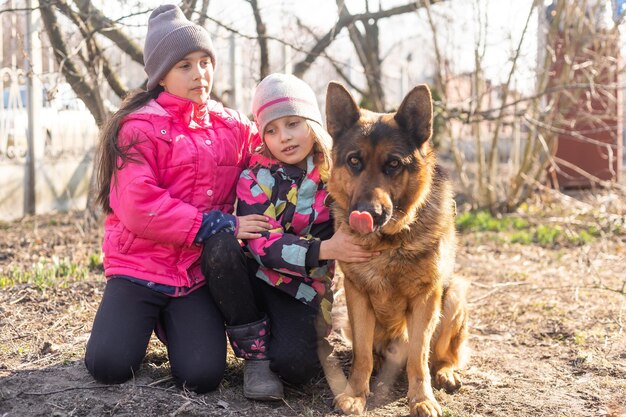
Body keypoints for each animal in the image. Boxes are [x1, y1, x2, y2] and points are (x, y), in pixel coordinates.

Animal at [324, 82, 466, 416]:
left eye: (393, 164)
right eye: (354, 161)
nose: (367, 213)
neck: (389, 242)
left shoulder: (426, 299)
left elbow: (418, 357)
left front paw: (422, 399)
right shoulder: (357, 294)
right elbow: (362, 354)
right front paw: (356, 392)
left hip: (454, 294)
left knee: (441, 355)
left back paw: (446, 372)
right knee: (371, 351)